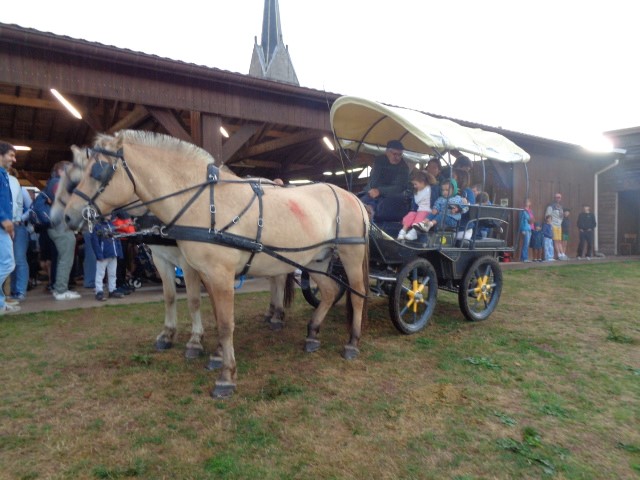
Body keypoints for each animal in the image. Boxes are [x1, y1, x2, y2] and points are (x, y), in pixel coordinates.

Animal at [50, 146, 295, 367]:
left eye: (75, 182)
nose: (60, 219)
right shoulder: (161, 259)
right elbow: (169, 297)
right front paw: (167, 334)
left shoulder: (190, 264)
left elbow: (196, 300)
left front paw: (197, 341)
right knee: (274, 277)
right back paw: (271, 312)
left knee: (280, 277)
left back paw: (277, 315)